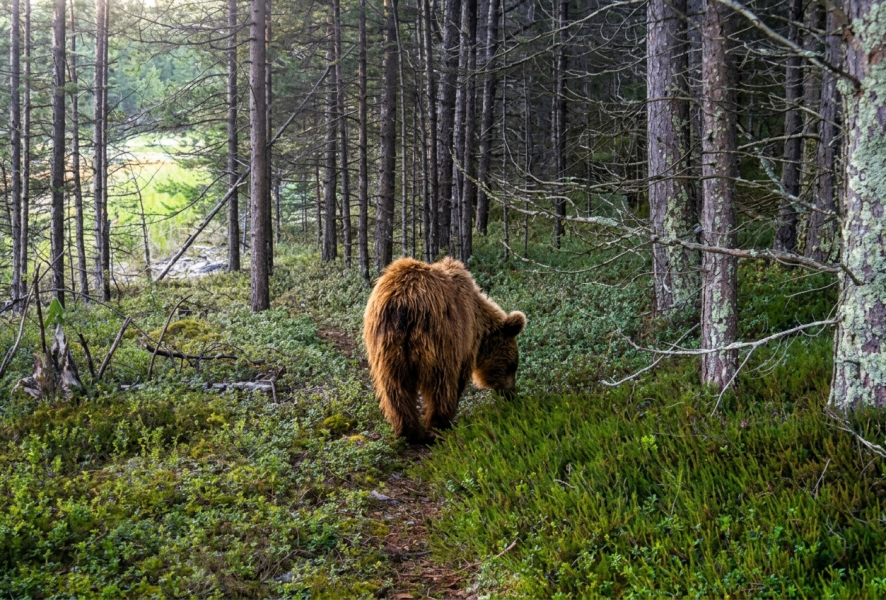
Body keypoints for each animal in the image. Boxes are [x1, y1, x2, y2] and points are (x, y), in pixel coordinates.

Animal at [363, 256, 526, 443]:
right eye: (512, 366)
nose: (511, 394)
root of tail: (402, 304)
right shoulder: (464, 338)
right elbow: (459, 377)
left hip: (385, 345)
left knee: (394, 388)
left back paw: (410, 432)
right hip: (438, 339)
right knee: (441, 384)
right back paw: (439, 425)